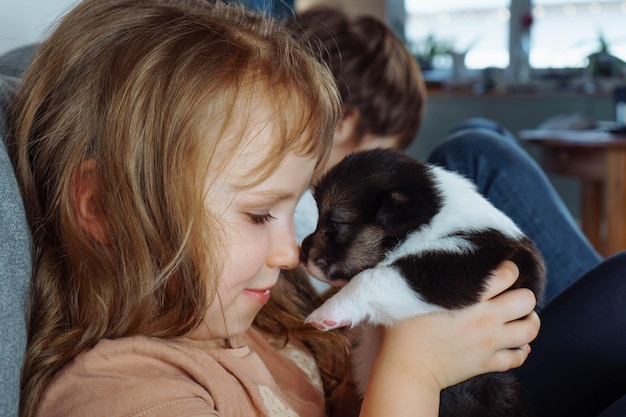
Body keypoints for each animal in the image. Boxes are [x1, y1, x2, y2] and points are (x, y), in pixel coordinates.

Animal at [300, 148, 544, 414]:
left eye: (335, 223)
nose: (301, 252)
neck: (434, 217)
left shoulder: (459, 266)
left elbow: (378, 275)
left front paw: (327, 311)